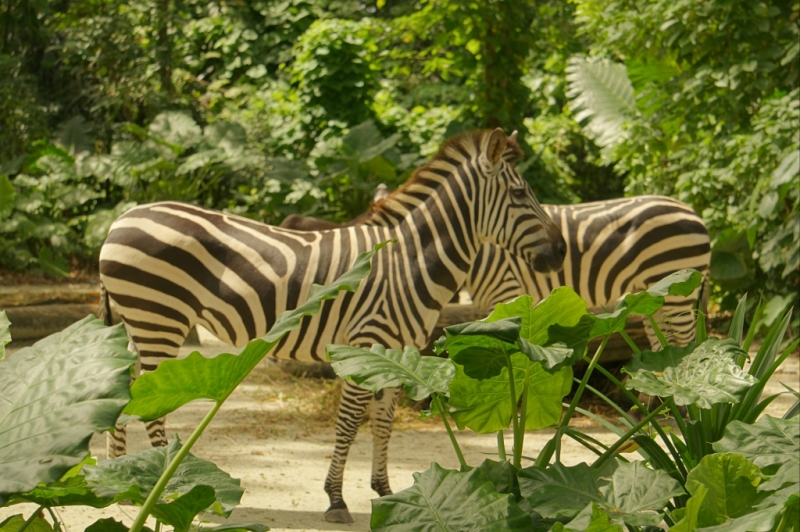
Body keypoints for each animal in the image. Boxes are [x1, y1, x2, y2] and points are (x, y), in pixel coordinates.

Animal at [97, 129, 564, 524]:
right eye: (520, 194)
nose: (560, 252)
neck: (409, 262)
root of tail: (121, 219)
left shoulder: (396, 356)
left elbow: (382, 423)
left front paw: (387, 492)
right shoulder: (367, 344)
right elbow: (349, 422)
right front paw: (337, 500)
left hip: (138, 324)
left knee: (129, 394)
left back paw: (119, 480)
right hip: (159, 318)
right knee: (152, 407)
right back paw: (165, 489)